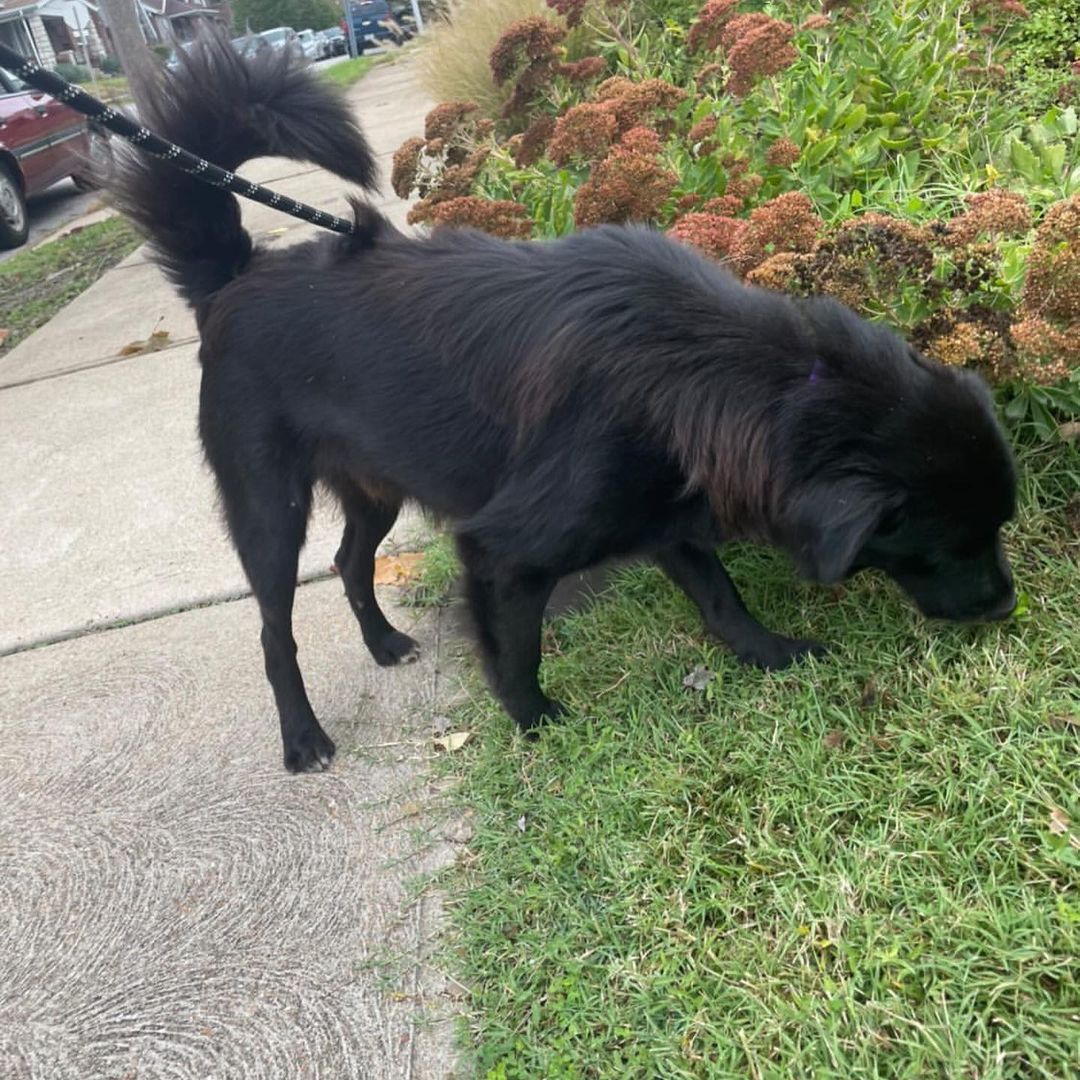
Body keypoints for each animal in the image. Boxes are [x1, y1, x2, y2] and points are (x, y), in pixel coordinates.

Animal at [113, 38, 1015, 773]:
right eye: (957, 542)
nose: (1008, 608)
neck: (715, 370)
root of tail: (233, 279)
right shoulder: (504, 549)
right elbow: (516, 652)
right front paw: (536, 723)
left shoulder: (666, 510)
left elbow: (722, 597)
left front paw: (770, 653)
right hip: (269, 505)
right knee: (276, 627)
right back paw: (302, 737)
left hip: (378, 486)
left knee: (349, 560)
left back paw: (383, 642)